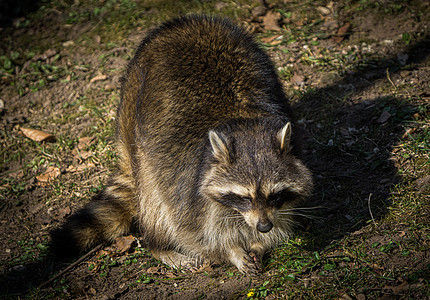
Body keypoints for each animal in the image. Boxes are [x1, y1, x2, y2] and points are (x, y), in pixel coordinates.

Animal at [51, 15, 312, 276]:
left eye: (274, 195)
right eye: (244, 198)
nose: (264, 226)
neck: (244, 121)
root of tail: (183, 23)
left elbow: (283, 217)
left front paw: (260, 243)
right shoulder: (185, 180)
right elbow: (196, 231)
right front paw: (231, 250)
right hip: (143, 142)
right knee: (154, 200)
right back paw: (159, 245)